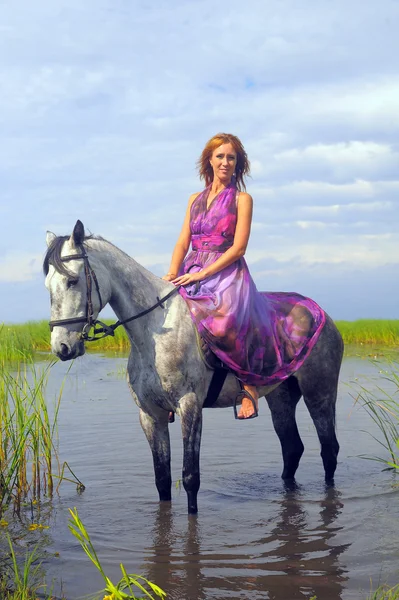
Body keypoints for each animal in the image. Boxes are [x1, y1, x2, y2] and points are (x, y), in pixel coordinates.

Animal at [43, 220, 344, 516]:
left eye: (72, 280)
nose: (62, 347)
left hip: (320, 393)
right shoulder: (150, 414)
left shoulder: (189, 406)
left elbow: (190, 477)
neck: (154, 331)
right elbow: (162, 478)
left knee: (329, 449)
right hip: (281, 396)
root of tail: (323, 315)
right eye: (48, 285)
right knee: (292, 449)